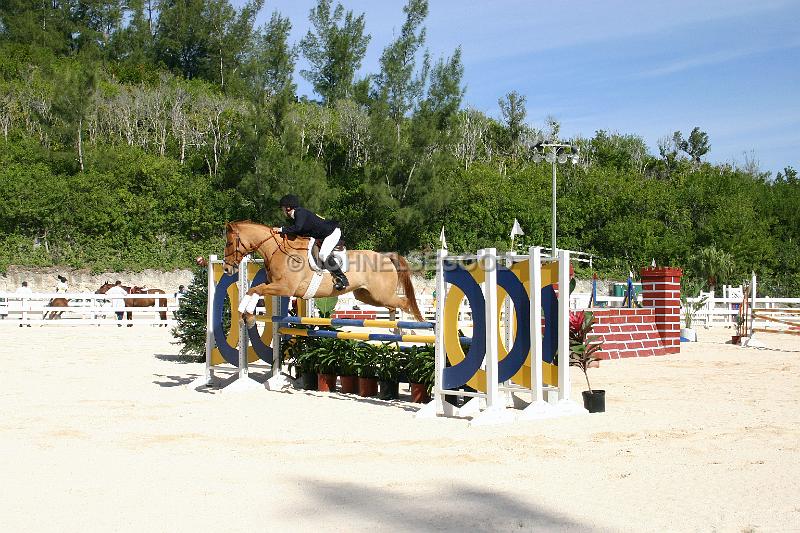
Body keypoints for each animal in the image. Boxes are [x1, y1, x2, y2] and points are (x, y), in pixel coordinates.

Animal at [223, 218, 424, 326]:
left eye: (229, 242)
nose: (226, 268)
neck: (278, 250)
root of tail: (385, 256)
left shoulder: (285, 288)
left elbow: (256, 290)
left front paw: (247, 315)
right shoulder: (274, 284)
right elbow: (253, 289)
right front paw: (245, 315)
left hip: (381, 294)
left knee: (404, 303)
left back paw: (407, 329)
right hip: (367, 296)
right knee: (393, 306)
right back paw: (394, 328)